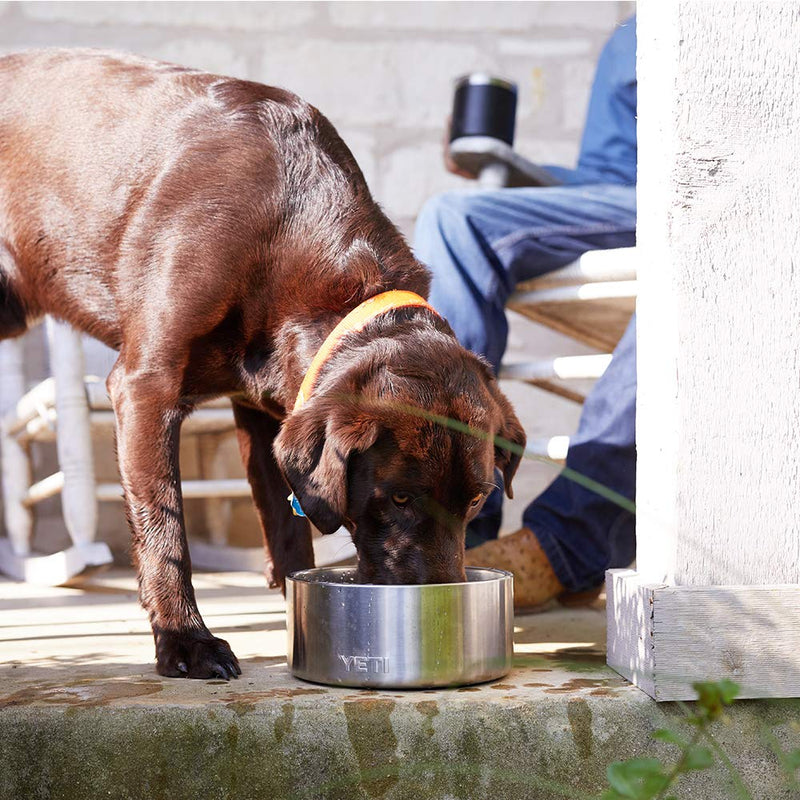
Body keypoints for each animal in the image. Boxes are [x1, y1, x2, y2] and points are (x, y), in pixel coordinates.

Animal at [0, 50, 528, 680]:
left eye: (474, 500)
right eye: (399, 498)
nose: (441, 603)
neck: (289, 225)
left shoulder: (266, 411)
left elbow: (288, 528)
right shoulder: (144, 388)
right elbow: (164, 526)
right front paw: (186, 640)